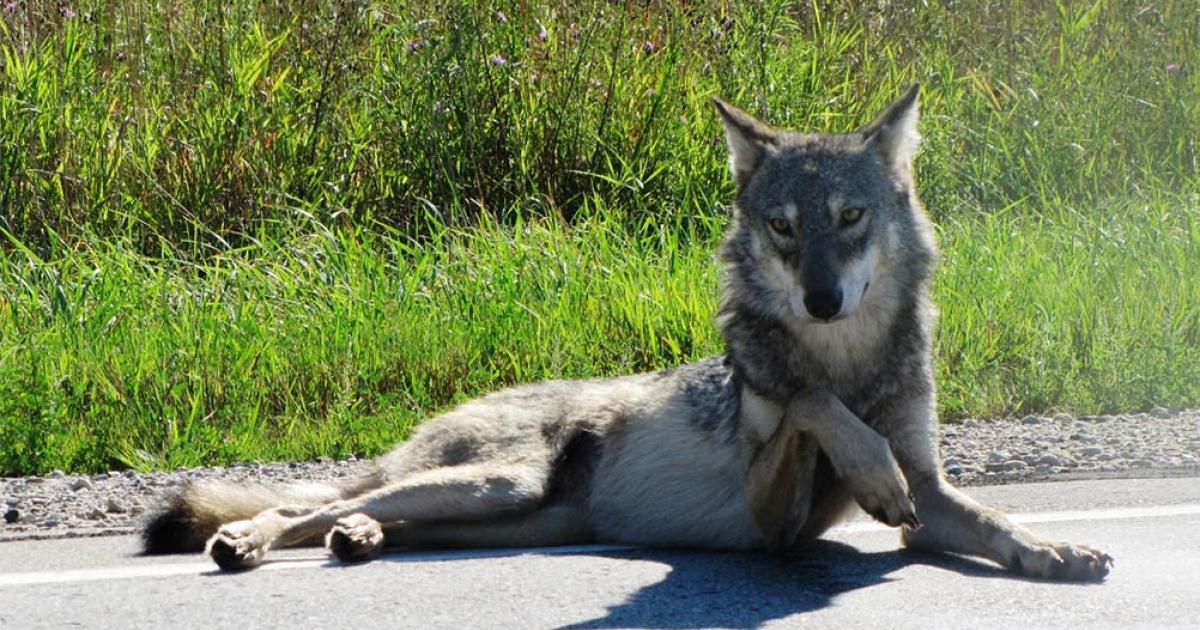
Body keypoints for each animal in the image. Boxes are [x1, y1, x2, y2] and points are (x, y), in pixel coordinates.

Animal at [142, 85, 1112, 581]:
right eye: (783, 228)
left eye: (850, 218)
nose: (822, 300)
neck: (851, 359)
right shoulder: (776, 521)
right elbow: (808, 401)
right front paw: (851, 443)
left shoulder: (932, 497)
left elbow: (993, 520)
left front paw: (1054, 550)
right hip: (495, 483)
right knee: (304, 508)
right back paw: (251, 541)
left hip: (506, 514)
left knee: (354, 518)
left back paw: (360, 542)